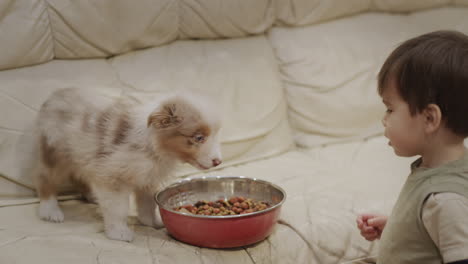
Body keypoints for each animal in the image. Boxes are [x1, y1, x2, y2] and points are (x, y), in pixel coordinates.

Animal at [34, 88, 221, 241]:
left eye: (214, 135)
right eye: (199, 138)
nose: (218, 161)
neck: (153, 146)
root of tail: (54, 95)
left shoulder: (148, 178)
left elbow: (147, 205)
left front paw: (152, 222)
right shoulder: (112, 177)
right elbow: (118, 209)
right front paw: (118, 232)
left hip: (81, 154)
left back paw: (92, 196)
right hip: (54, 153)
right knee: (46, 180)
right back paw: (50, 211)